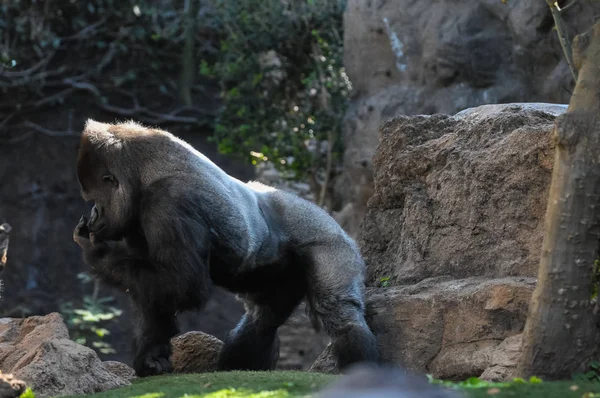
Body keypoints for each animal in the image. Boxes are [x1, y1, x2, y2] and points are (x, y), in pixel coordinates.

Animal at [71, 118, 380, 376]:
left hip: (330, 241)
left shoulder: (168, 202)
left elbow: (181, 284)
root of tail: (327, 215)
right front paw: (151, 356)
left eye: (95, 197)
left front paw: (96, 253)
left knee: (340, 314)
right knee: (262, 319)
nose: (94, 214)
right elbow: (155, 292)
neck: (143, 175)